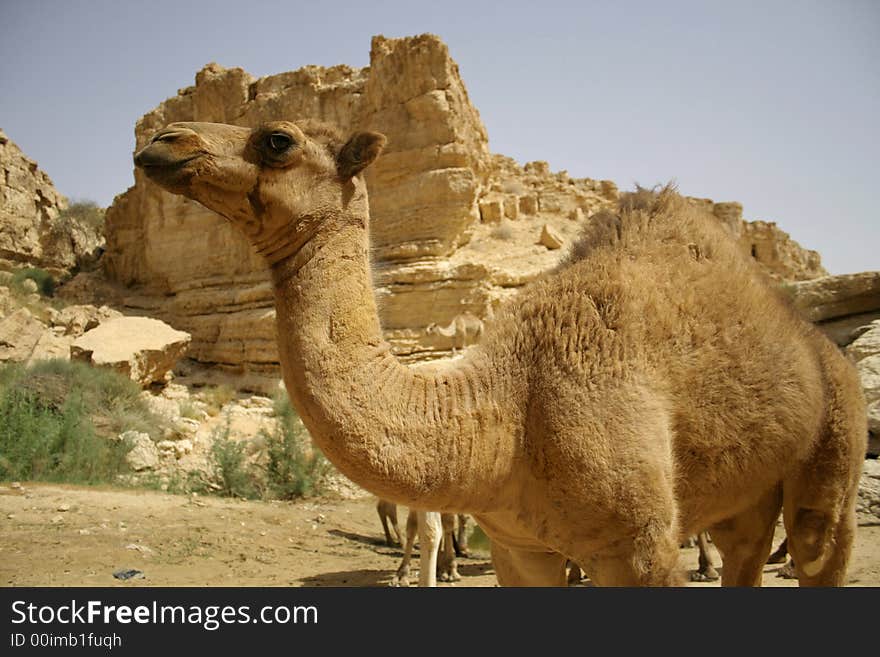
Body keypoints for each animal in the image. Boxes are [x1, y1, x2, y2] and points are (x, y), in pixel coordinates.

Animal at [136, 120, 868, 588]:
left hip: (837, 435)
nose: (161, 140)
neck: (501, 411)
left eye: (277, 140)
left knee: (816, 544)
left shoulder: (641, 548)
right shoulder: (521, 547)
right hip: (747, 489)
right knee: (746, 546)